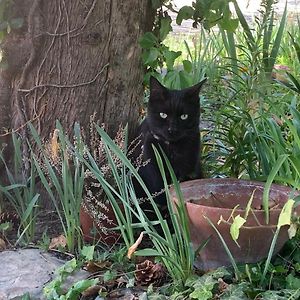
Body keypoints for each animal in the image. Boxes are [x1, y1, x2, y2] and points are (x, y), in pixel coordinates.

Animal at [131, 75, 206, 213]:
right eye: (163, 115)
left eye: (184, 116)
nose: (172, 129)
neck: (172, 148)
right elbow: (159, 189)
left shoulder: (189, 169)